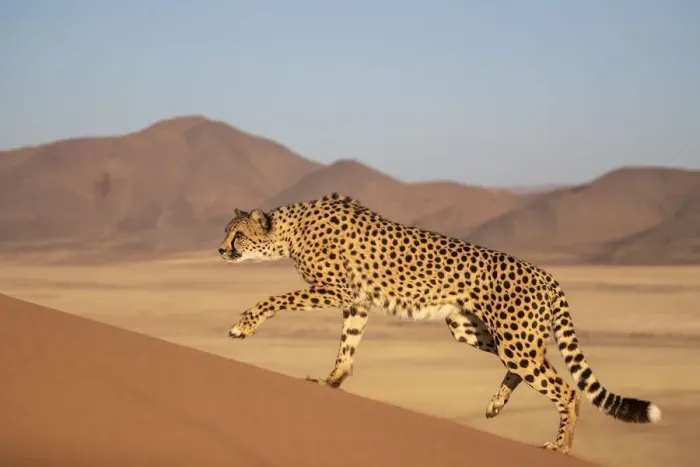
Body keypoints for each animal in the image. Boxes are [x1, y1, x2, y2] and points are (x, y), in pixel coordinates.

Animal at [218, 192, 661, 454]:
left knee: (566, 390)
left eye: (237, 236)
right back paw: (496, 405)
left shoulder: (336, 290)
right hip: (475, 330)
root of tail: (546, 275)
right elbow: (348, 345)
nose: (220, 251)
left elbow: (275, 299)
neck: (291, 229)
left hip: (514, 341)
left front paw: (244, 326)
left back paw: (561, 447)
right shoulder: (357, 302)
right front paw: (331, 381)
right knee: (534, 368)